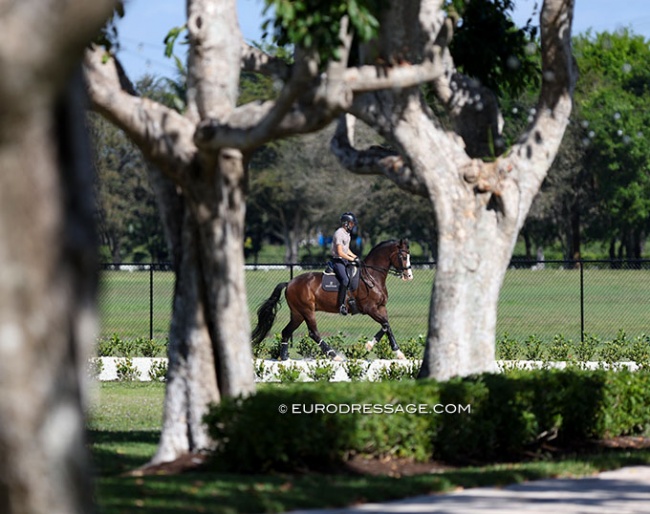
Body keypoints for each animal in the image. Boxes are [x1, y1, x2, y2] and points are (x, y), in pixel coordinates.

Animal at [251, 238, 412, 358]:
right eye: (403, 256)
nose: (409, 276)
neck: (372, 277)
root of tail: (289, 282)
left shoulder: (381, 308)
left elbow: (387, 326)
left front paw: (398, 353)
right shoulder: (370, 309)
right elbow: (385, 324)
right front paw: (369, 345)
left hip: (298, 314)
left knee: (286, 332)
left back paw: (284, 358)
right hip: (307, 311)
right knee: (313, 333)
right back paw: (334, 355)